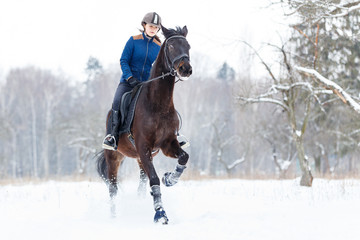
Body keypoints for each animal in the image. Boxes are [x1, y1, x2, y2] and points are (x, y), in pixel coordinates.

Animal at [95, 24, 191, 223]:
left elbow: (183, 158)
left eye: (188, 46)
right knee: (113, 189)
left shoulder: (166, 144)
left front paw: (169, 178)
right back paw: (113, 217)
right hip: (114, 157)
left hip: (140, 158)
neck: (158, 104)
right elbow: (154, 179)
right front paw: (160, 213)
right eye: (171, 46)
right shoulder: (143, 146)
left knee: (140, 183)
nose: (186, 68)